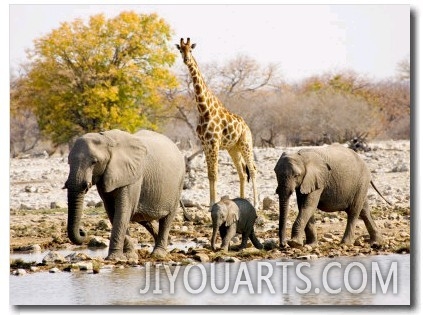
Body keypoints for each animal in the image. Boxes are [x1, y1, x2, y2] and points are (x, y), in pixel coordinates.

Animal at [64, 130, 186, 260]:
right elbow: (113, 211)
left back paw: (159, 254)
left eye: (94, 162)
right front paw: (129, 255)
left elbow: (123, 211)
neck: (106, 139)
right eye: (68, 162)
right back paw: (168, 242)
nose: (82, 231)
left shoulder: (132, 176)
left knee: (166, 219)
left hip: (178, 185)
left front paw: (114, 258)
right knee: (142, 218)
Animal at [176, 37, 258, 207]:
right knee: (242, 172)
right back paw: (242, 200)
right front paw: (210, 203)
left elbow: (215, 174)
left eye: (191, 49)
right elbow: (209, 174)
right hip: (233, 148)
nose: (186, 60)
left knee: (252, 170)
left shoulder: (213, 143)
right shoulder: (205, 144)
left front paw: (213, 203)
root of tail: (247, 127)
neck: (203, 109)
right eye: (180, 50)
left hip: (246, 143)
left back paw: (257, 203)